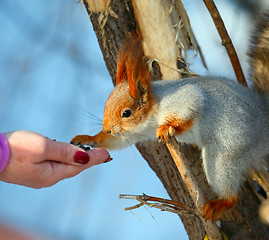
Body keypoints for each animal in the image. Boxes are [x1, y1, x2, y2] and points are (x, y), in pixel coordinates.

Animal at [70, 13, 268, 222]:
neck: (151, 115)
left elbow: (191, 107)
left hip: (227, 153)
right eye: (106, 106)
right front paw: (88, 139)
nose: (107, 129)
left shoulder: (183, 99)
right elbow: (118, 141)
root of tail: (265, 124)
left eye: (126, 113)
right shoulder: (133, 133)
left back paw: (221, 203)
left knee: (230, 190)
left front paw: (168, 127)